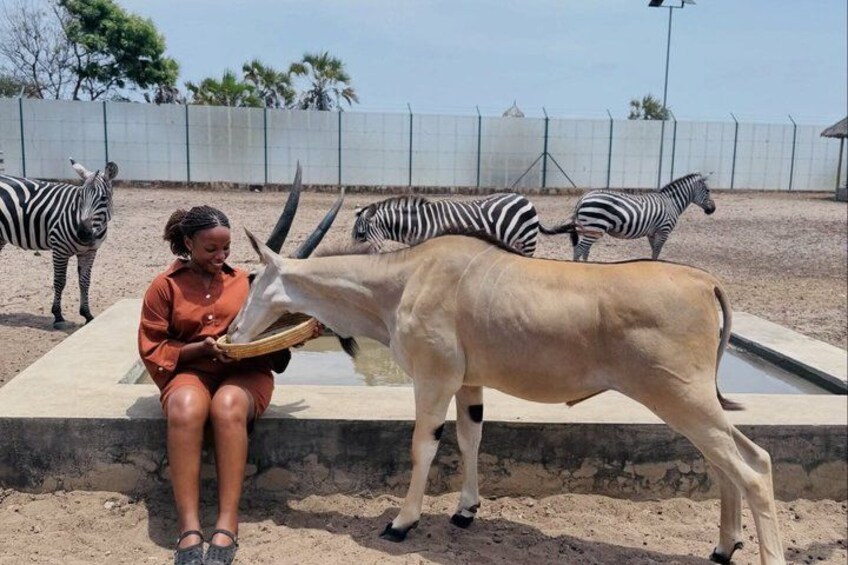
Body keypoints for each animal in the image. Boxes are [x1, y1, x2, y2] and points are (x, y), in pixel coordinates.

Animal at [0, 159, 119, 328]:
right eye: (80, 196)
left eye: (103, 198)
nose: (83, 233)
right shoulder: (59, 249)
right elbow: (59, 281)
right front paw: (58, 316)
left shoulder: (89, 252)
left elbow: (85, 282)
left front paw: (87, 314)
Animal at [546, 173, 715, 261]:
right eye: (708, 191)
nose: (713, 209)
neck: (671, 203)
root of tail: (583, 198)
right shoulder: (664, 230)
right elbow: (657, 252)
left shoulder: (653, 233)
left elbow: (653, 252)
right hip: (595, 227)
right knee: (579, 249)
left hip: (589, 229)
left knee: (584, 250)